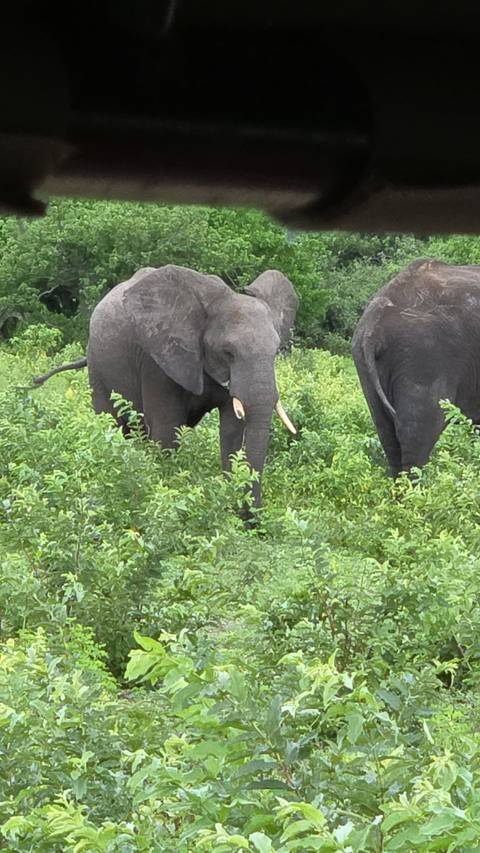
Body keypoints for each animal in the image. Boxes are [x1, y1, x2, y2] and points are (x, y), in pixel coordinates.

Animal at [33, 264, 298, 512]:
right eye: (228, 352)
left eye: (276, 351)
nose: (252, 518)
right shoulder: (157, 361)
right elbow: (166, 431)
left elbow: (232, 433)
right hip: (98, 365)